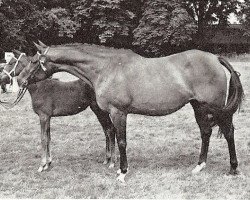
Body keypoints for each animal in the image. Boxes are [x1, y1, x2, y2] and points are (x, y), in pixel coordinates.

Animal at [17, 42, 244, 183]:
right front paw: (118, 168)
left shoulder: (118, 113)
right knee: (205, 132)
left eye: (34, 61)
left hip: (216, 108)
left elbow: (121, 142)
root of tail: (215, 58)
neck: (106, 68)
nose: (19, 80)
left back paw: (233, 169)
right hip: (198, 106)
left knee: (229, 132)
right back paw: (199, 166)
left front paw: (122, 172)